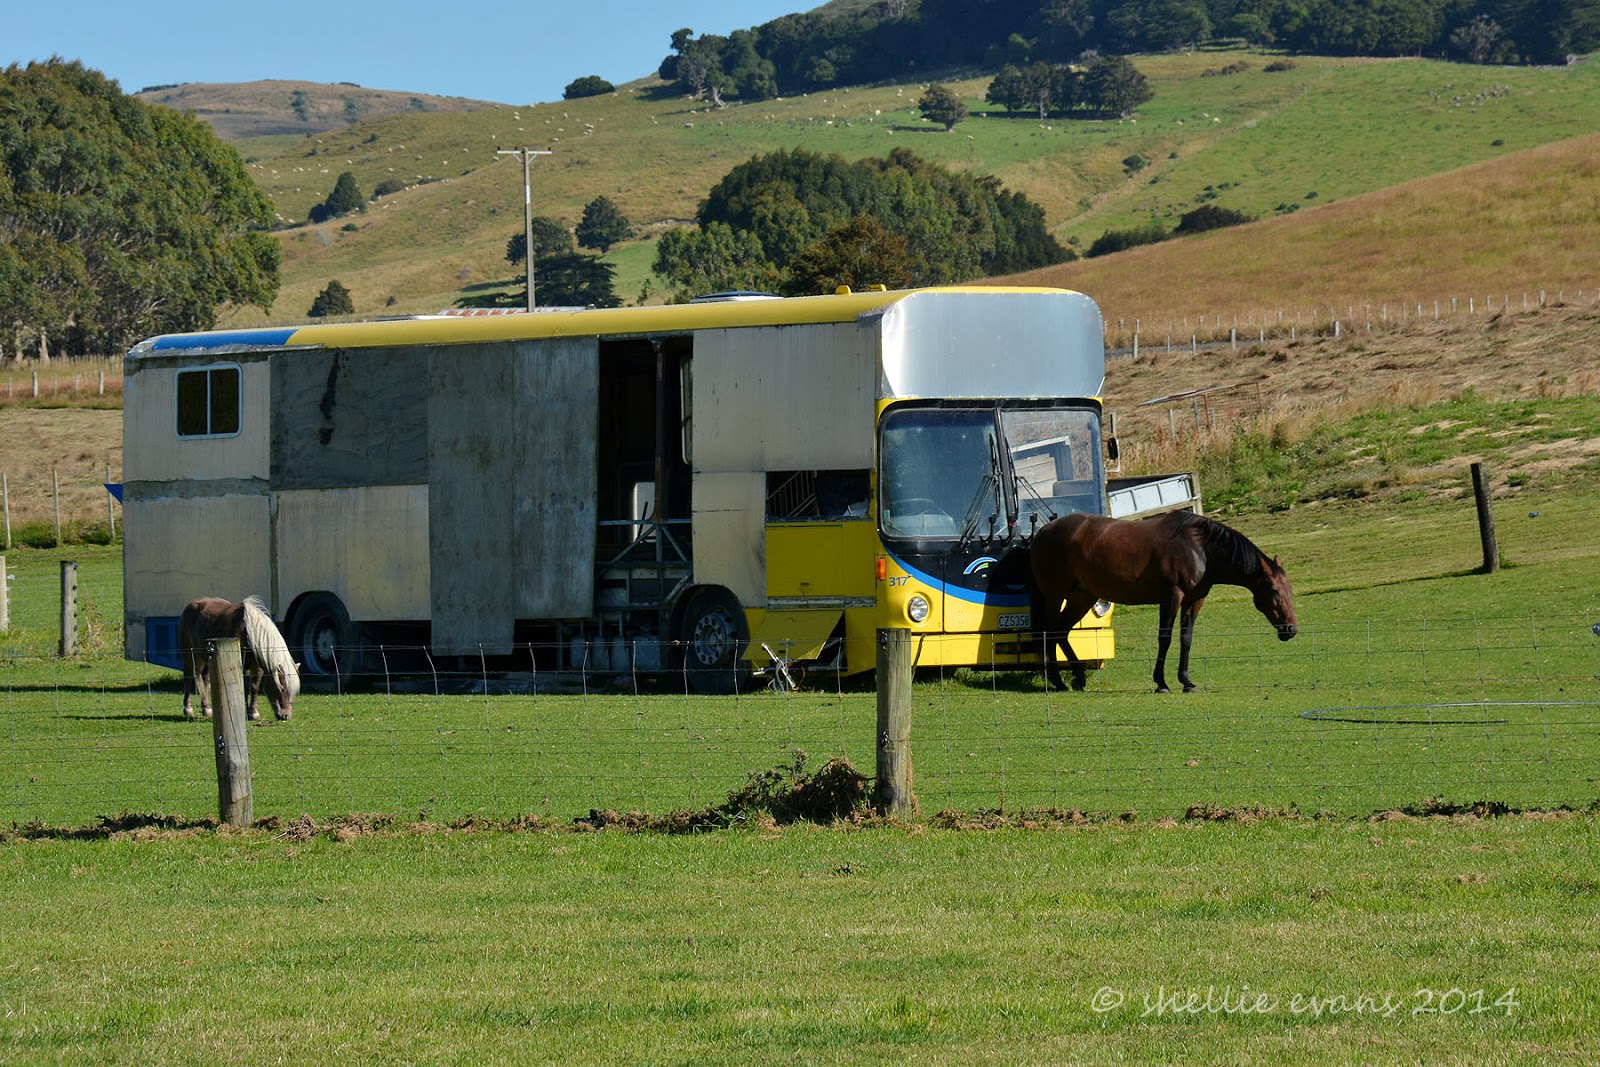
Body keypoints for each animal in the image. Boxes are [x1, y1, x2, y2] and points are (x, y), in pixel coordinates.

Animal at [1030, 511, 1292, 697]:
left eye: (1290, 590)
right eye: (1274, 591)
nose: (1291, 629)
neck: (1200, 547)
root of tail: (1042, 532)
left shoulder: (1194, 600)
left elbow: (1186, 638)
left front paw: (1187, 681)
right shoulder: (1171, 597)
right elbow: (1164, 638)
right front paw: (1161, 683)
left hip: (1082, 598)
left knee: (1061, 632)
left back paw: (1078, 679)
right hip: (1055, 596)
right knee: (1049, 633)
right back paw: (1058, 682)